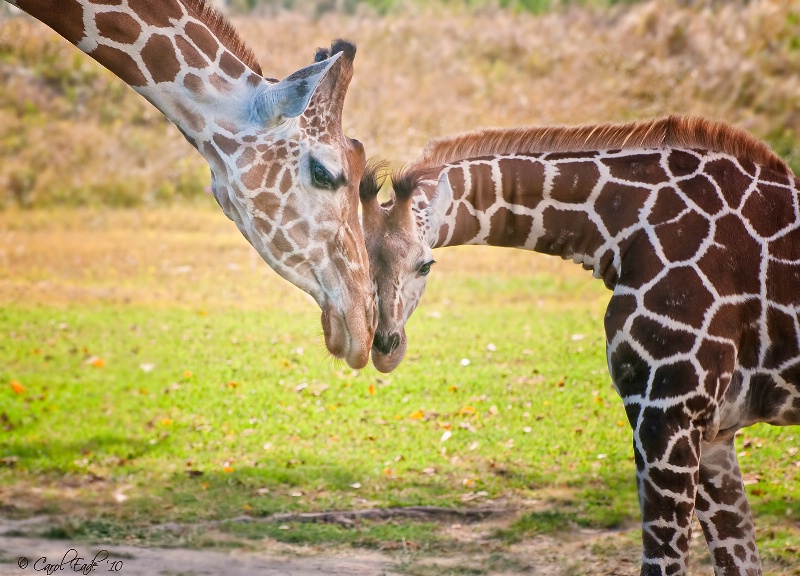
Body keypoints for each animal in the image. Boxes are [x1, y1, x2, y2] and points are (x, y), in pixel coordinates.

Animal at [360, 113, 800, 576]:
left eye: (426, 264)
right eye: (358, 259)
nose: (386, 348)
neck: (624, 231)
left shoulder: (668, 415)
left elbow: (662, 563)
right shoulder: (716, 431)